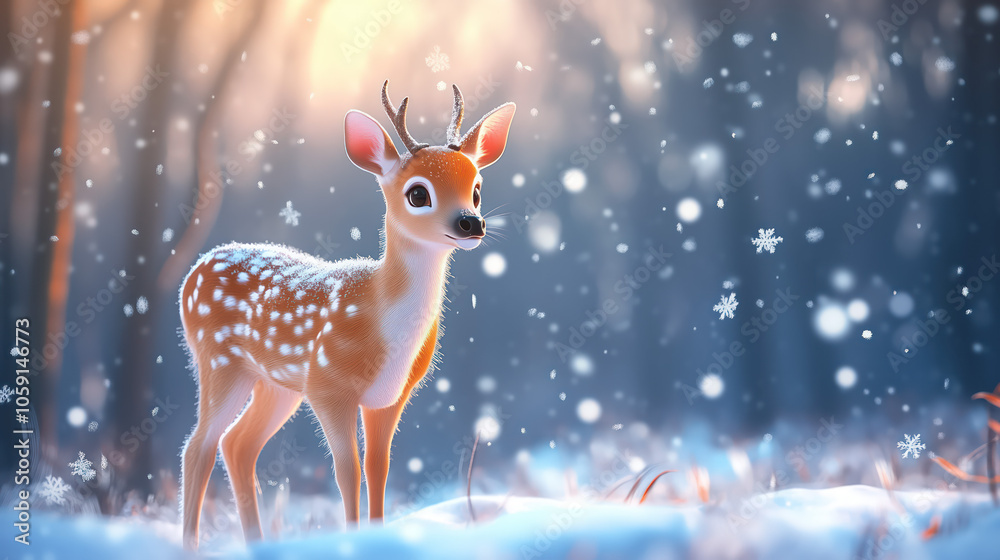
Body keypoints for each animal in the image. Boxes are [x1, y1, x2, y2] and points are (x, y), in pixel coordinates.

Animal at [177, 80, 515, 550]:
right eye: (418, 193)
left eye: (477, 188)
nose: (471, 223)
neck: (380, 313)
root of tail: (192, 273)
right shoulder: (329, 386)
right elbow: (347, 471)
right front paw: (354, 539)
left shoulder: (391, 397)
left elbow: (378, 467)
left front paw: (376, 534)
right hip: (220, 361)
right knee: (198, 446)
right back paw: (190, 546)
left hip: (275, 384)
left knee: (237, 445)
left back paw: (258, 545)